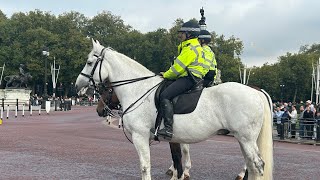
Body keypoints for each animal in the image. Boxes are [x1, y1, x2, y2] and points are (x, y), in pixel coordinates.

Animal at [75, 39, 272, 180]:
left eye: (89, 62)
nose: (78, 84)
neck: (139, 89)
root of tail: (256, 92)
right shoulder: (169, 138)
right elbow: (176, 158)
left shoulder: (140, 136)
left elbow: (148, 166)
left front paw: (179, 173)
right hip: (243, 139)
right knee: (251, 165)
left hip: (246, 138)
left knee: (257, 165)